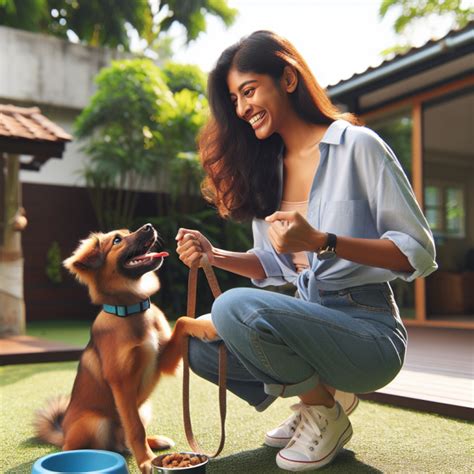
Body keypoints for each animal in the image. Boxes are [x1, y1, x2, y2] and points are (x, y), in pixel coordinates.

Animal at [34, 224, 181, 472]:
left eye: (128, 232)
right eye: (117, 240)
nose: (149, 226)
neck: (133, 309)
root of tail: (63, 433)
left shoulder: (165, 358)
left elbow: (183, 323)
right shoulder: (122, 383)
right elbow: (136, 429)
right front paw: (147, 461)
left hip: (144, 407)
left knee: (125, 441)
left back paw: (156, 441)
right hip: (97, 422)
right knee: (84, 447)